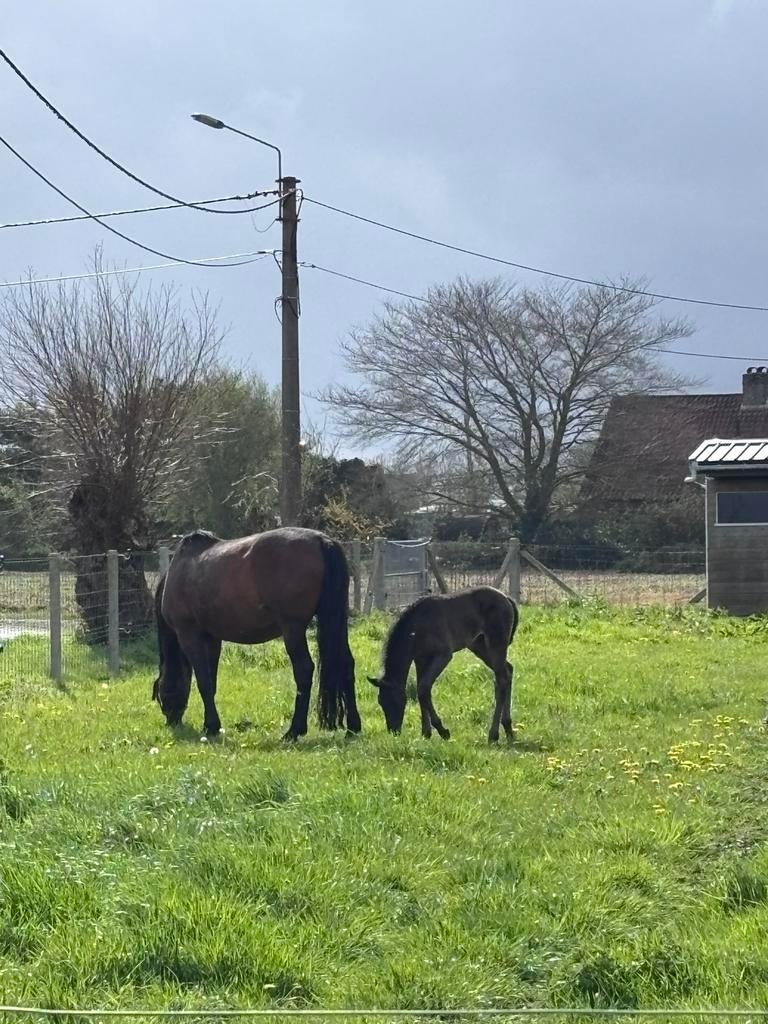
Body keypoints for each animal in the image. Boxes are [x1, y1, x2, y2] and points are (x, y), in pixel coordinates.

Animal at [152, 527, 361, 740]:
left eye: (161, 695)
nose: (171, 720)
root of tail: (321, 540)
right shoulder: (212, 639)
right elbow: (211, 681)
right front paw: (211, 725)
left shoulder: (189, 633)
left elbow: (203, 681)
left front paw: (211, 726)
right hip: (333, 622)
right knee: (346, 664)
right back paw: (353, 727)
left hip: (292, 628)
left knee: (303, 669)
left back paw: (294, 730)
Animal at [368, 586, 519, 743]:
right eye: (381, 702)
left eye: (394, 700)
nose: (394, 731)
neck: (417, 626)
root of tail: (506, 598)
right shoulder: (420, 659)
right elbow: (421, 691)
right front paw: (426, 733)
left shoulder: (443, 656)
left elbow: (423, 688)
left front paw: (442, 730)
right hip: (479, 645)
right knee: (508, 671)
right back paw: (508, 728)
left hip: (495, 644)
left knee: (502, 679)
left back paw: (493, 734)